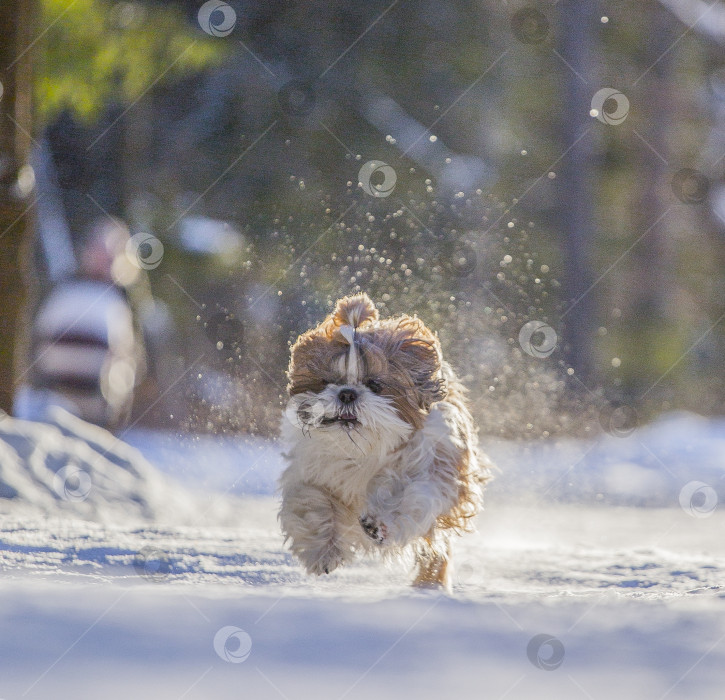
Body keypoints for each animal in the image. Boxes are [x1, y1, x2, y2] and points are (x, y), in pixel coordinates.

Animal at [278, 292, 492, 588]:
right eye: (326, 381)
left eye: (375, 385)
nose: (347, 393)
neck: (365, 451)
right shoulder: (313, 472)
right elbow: (311, 501)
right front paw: (323, 551)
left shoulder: (434, 469)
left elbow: (410, 496)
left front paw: (379, 522)